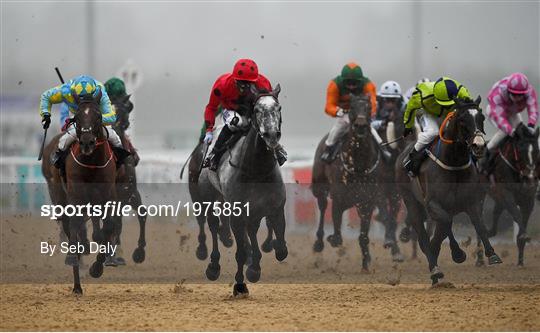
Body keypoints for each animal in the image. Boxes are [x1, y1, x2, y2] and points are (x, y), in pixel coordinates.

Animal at [40, 91, 118, 294]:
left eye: (98, 115)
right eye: (77, 117)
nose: (87, 142)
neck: (92, 163)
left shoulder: (107, 197)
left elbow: (107, 229)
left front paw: (97, 267)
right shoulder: (76, 197)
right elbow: (76, 230)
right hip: (59, 197)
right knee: (70, 229)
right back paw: (76, 281)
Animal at [194, 83, 286, 296]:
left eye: (278, 108)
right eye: (257, 110)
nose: (271, 135)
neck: (256, 170)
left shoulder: (276, 207)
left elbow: (281, 249)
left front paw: (256, 265)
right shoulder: (236, 213)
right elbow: (241, 251)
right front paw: (240, 283)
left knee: (251, 230)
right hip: (208, 196)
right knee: (213, 225)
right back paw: (213, 266)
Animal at [392, 96, 502, 282]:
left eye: (481, 118)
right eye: (463, 120)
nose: (479, 146)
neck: (453, 164)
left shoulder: (471, 201)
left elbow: (478, 224)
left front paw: (491, 254)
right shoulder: (432, 203)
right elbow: (442, 225)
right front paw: (437, 255)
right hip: (410, 200)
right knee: (423, 231)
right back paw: (435, 267)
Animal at [484, 123, 536, 266]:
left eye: (536, 150)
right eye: (520, 149)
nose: (530, 176)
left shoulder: (529, 200)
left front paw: (520, 262)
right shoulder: (507, 195)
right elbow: (516, 214)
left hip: (498, 200)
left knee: (494, 220)